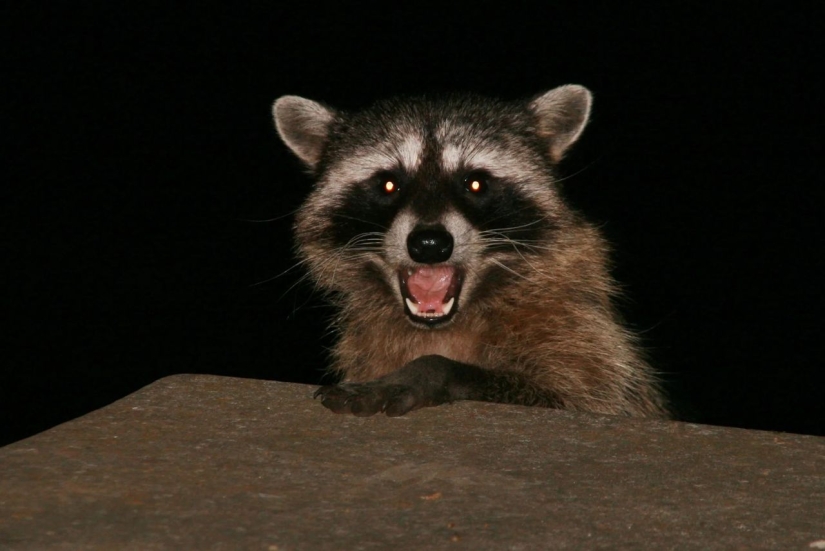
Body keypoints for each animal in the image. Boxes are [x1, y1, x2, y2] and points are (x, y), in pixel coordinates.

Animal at [272, 85, 668, 418]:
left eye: (475, 183)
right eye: (388, 184)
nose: (430, 244)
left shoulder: (581, 333)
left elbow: (584, 395)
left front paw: (429, 370)